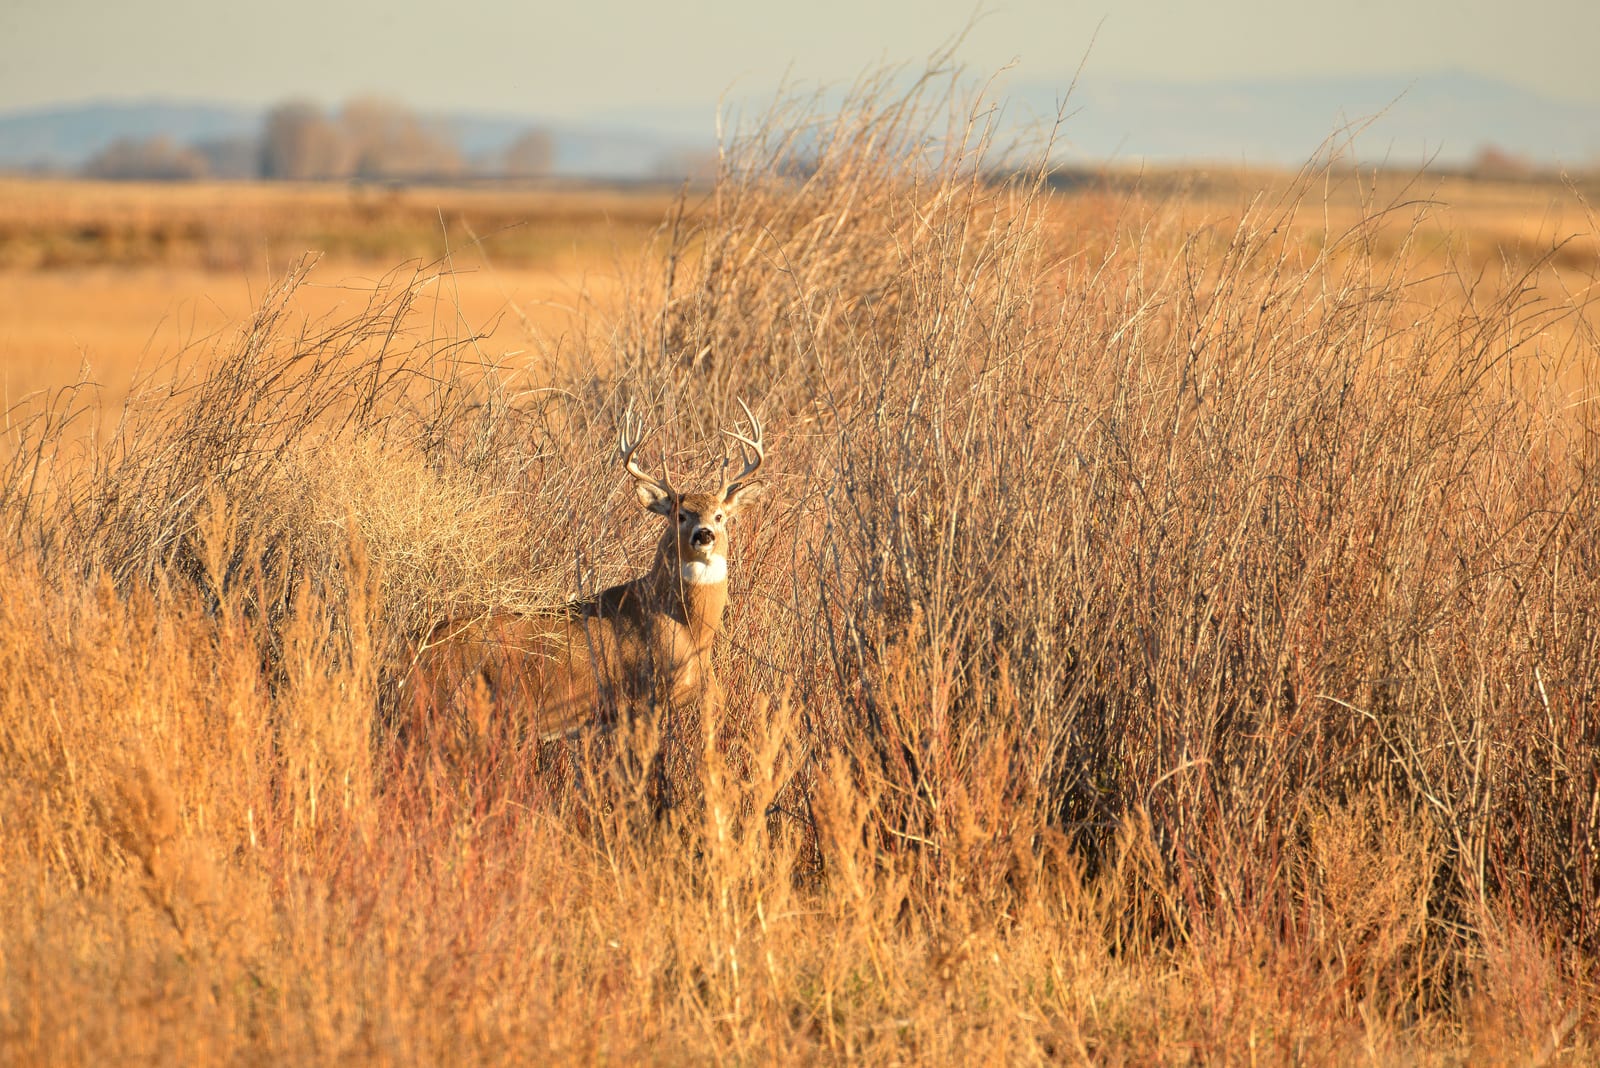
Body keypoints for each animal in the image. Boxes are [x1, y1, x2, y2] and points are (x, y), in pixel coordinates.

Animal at [412, 401, 767, 742]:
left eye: (720, 515)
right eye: (680, 515)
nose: (704, 534)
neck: (687, 630)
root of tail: (420, 645)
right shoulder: (638, 702)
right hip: (454, 706)